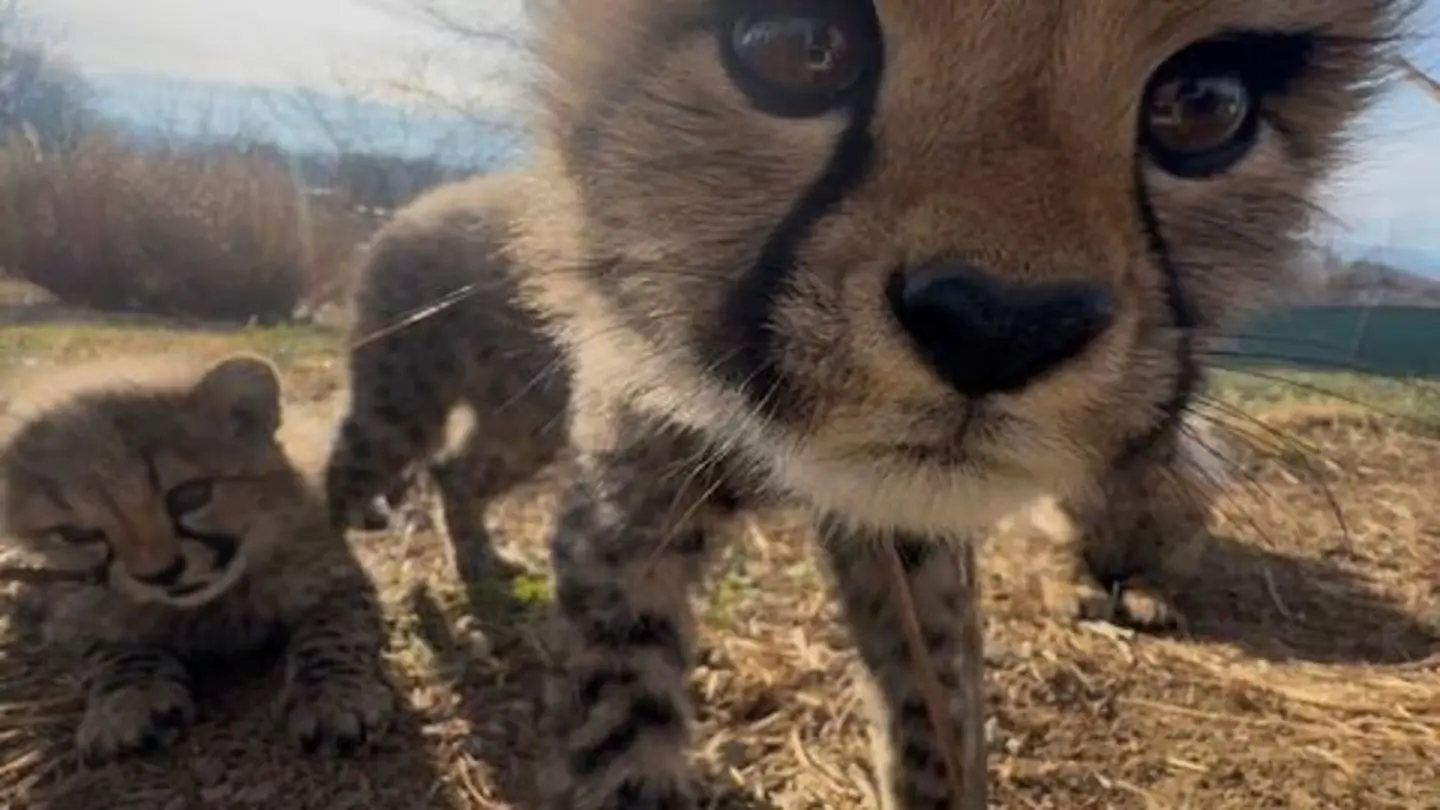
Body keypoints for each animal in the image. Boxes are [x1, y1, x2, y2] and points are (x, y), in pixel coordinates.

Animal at [0, 352, 397, 767]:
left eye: (191, 495)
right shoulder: (79, 614)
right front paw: (126, 705)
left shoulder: (338, 582)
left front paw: (335, 697)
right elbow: (117, 650)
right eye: (78, 534)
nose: (161, 574)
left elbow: (330, 636)